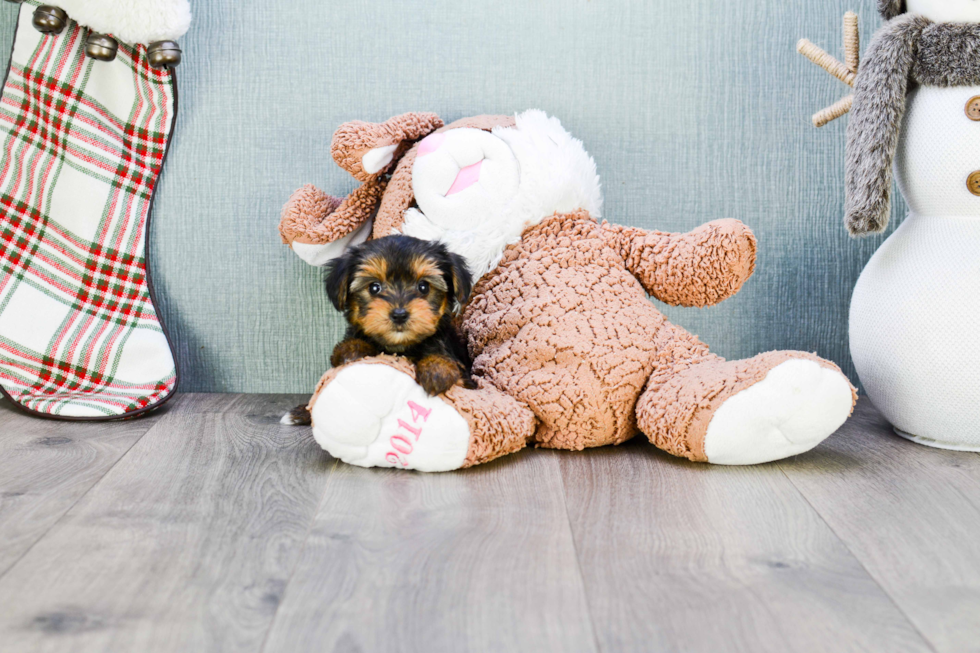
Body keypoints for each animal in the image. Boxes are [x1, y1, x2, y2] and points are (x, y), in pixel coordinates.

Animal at [282, 237, 476, 426]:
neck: (398, 347)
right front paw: (350, 349)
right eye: (374, 287)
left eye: (424, 287)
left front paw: (437, 368)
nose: (399, 314)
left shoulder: (465, 381)